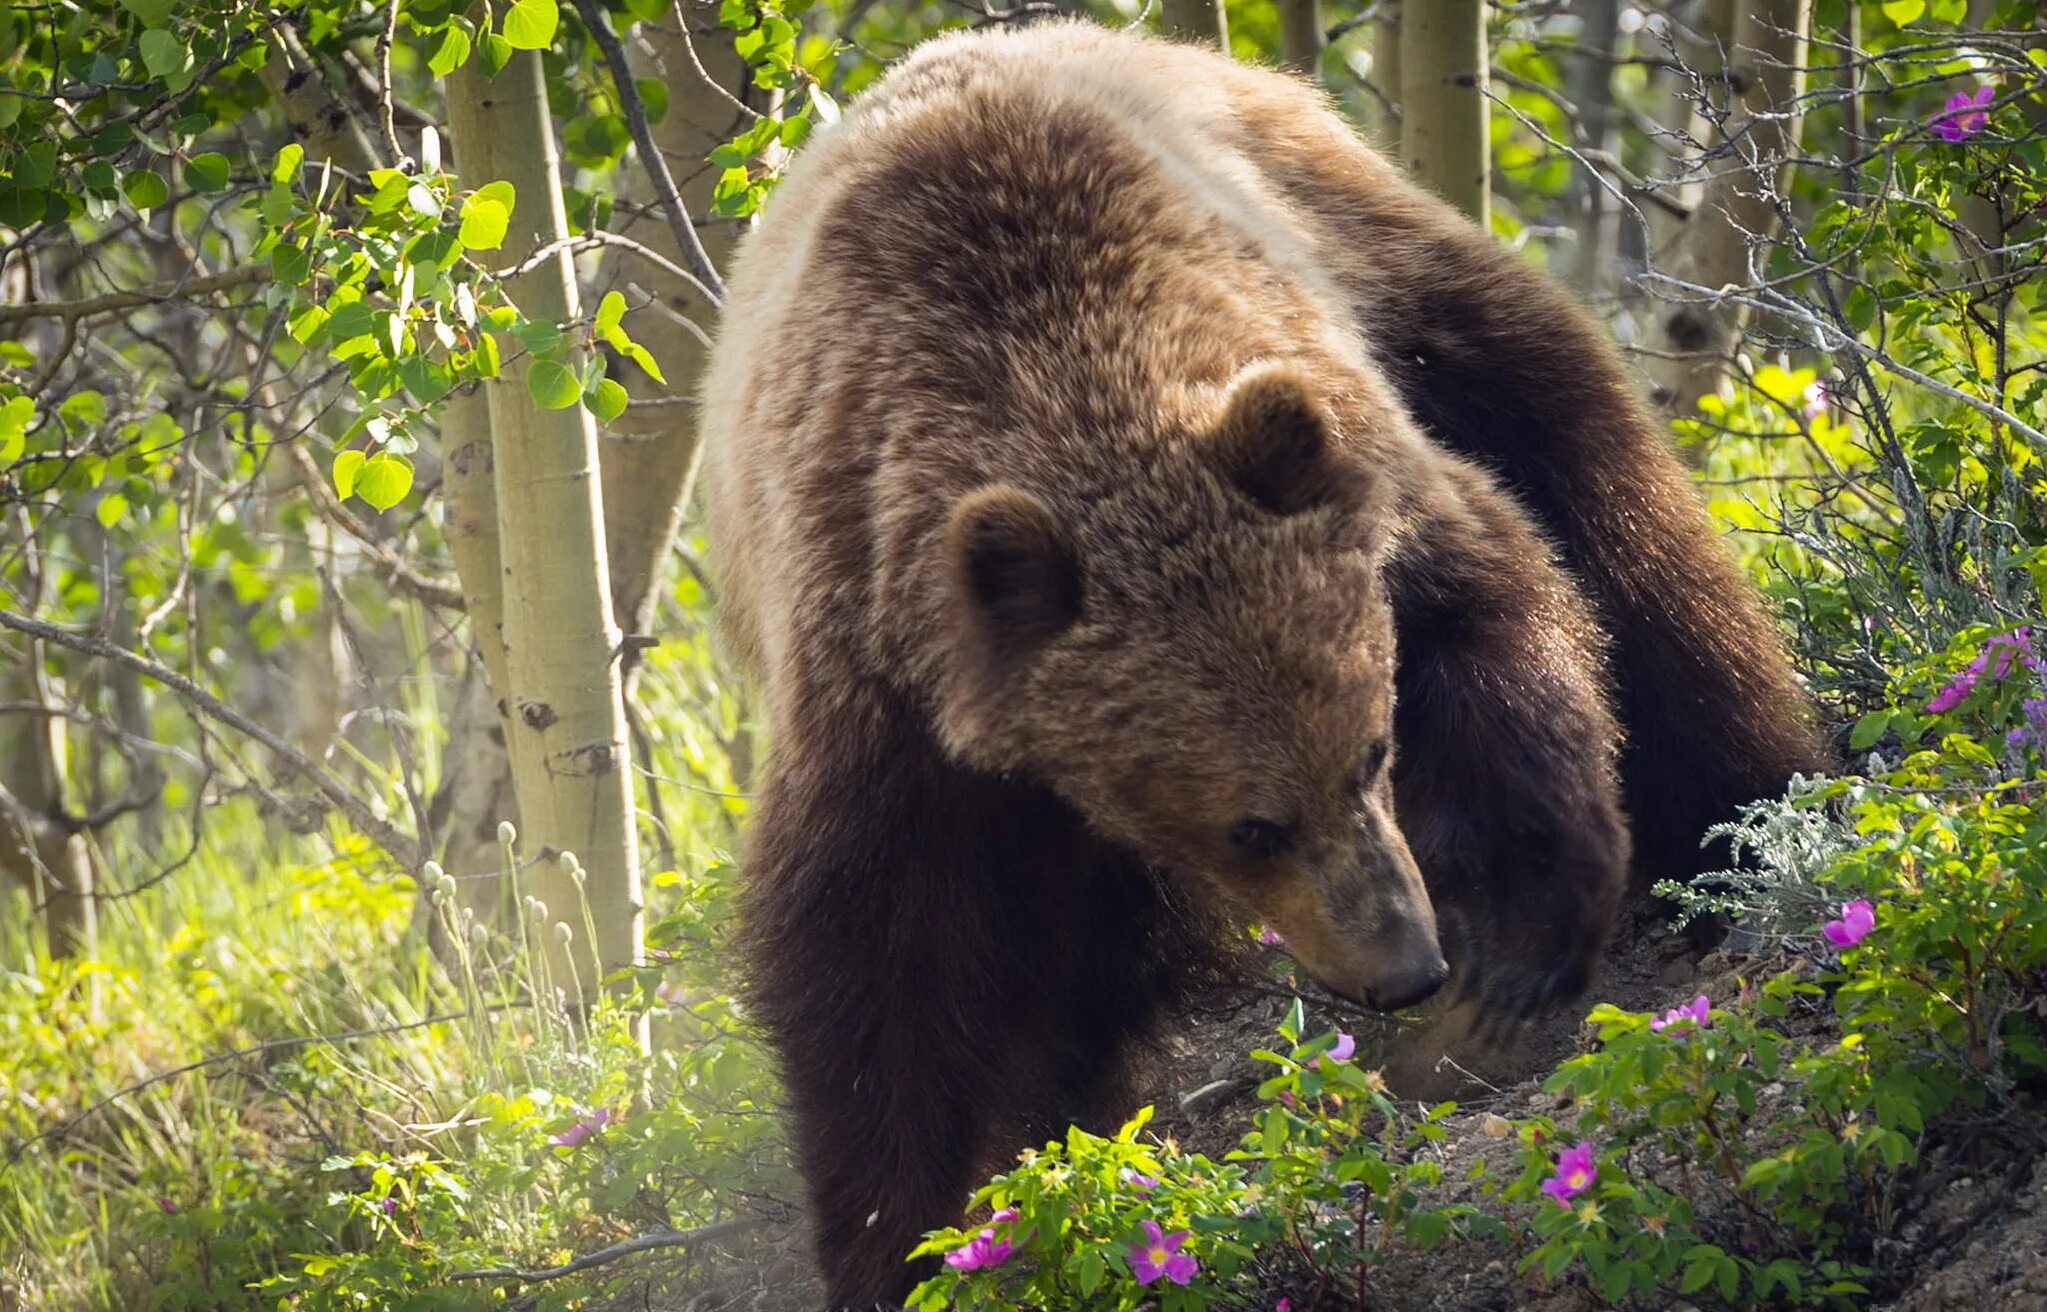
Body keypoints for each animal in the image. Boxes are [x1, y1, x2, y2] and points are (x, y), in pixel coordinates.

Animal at [700, 15, 1825, 1301]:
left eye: (1372, 753)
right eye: (1250, 826)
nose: (1406, 965)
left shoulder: (1364, 470)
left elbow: (1502, 617)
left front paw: (1520, 944)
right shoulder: (881, 675)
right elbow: (882, 958)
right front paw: (911, 1233)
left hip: (1397, 271)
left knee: (1602, 493)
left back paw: (1740, 814)